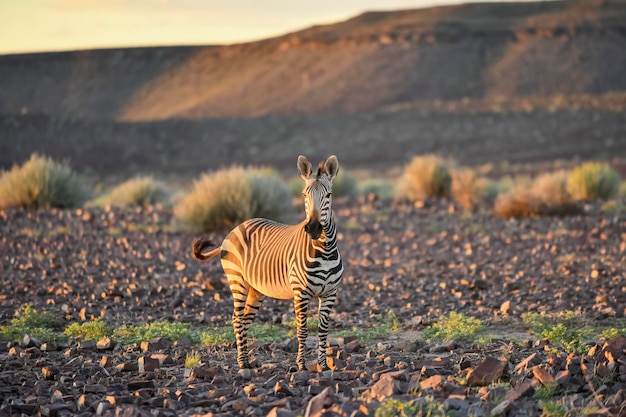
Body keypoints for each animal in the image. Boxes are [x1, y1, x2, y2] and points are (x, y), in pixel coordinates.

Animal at [193, 154, 344, 376]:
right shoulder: (301, 292)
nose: (314, 228)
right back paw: (242, 365)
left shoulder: (330, 293)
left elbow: (323, 330)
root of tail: (237, 226)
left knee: (246, 319)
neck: (323, 250)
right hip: (237, 280)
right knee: (237, 319)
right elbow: (302, 329)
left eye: (329, 195)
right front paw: (301, 366)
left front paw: (323, 366)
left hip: (256, 288)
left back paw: (247, 362)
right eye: (304, 195)